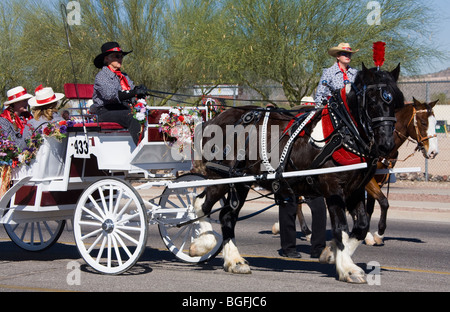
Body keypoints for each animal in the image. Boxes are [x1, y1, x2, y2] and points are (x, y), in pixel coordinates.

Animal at [190, 64, 404, 284]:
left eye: (396, 102)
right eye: (371, 100)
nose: (386, 145)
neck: (343, 131)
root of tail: (214, 119)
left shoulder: (355, 189)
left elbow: (361, 226)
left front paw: (331, 253)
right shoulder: (333, 187)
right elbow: (341, 227)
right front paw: (347, 268)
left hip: (241, 182)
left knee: (227, 216)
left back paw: (234, 260)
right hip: (222, 177)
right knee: (201, 204)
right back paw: (203, 243)